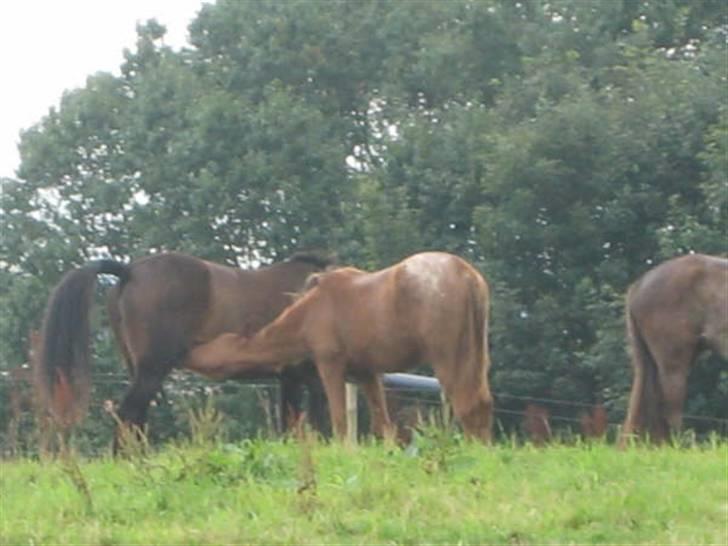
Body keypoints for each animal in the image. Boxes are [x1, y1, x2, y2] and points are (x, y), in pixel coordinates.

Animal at [33, 249, 330, 440]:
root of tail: (130, 271)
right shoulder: (313, 375)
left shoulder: (290, 377)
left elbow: (291, 422)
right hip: (153, 368)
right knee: (129, 412)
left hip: (138, 368)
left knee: (136, 415)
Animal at [185, 252, 498, 442]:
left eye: (217, 346)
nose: (190, 350)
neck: (307, 312)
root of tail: (467, 275)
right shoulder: (366, 372)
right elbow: (383, 425)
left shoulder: (330, 364)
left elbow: (339, 422)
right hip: (476, 351)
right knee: (481, 402)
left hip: (450, 355)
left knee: (467, 404)